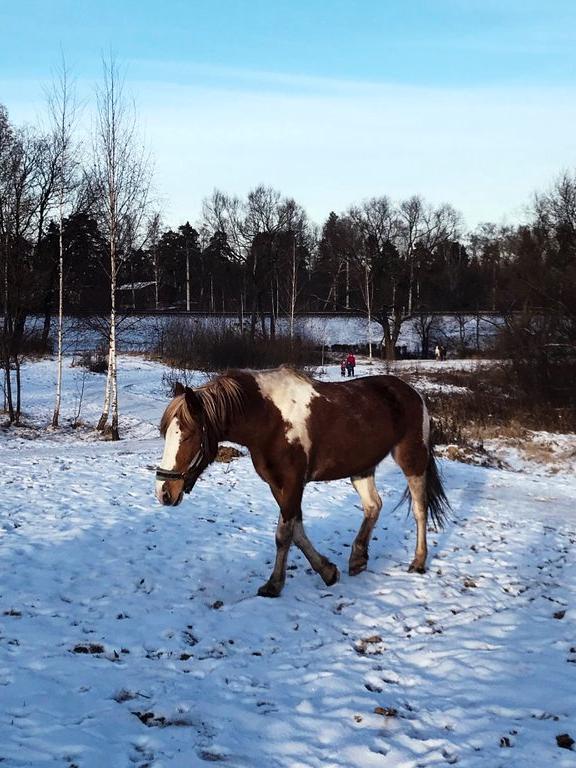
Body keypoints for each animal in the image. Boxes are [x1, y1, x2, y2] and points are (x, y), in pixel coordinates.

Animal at [156, 368, 450, 600]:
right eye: (166, 432)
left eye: (188, 435)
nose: (163, 492)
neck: (268, 419)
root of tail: (412, 393)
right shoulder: (279, 485)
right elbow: (296, 531)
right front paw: (328, 571)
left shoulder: (292, 483)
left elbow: (283, 534)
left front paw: (274, 585)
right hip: (361, 467)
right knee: (373, 506)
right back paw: (358, 559)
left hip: (412, 460)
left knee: (419, 509)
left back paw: (418, 561)